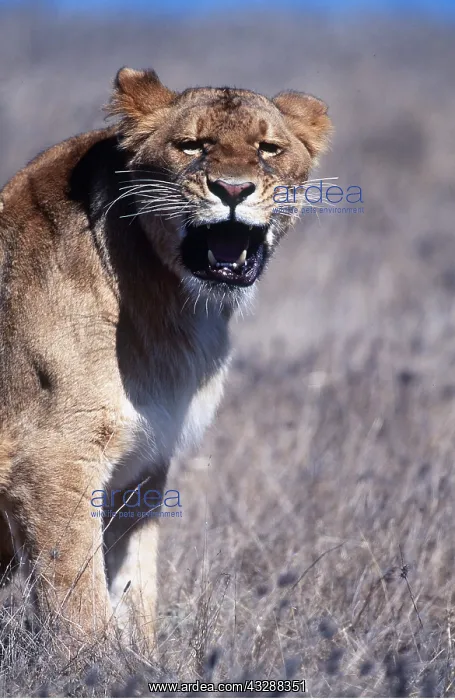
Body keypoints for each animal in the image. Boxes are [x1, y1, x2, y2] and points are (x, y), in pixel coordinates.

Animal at [0, 68, 331, 652]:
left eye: (268, 149)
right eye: (192, 146)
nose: (233, 190)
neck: (172, 301)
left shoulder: (143, 465)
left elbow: (135, 590)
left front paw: (144, 663)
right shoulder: (51, 460)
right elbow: (80, 607)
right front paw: (94, 668)